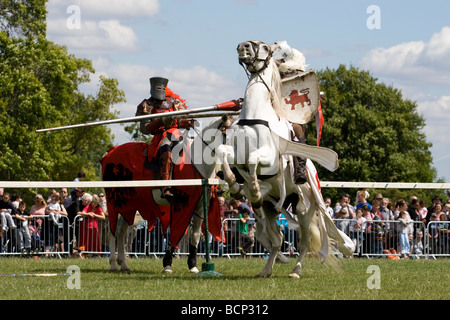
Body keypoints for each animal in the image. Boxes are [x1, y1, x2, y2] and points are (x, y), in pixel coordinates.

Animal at [219, 40, 356, 278]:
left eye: (264, 47)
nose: (243, 46)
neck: (255, 115)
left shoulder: (269, 157)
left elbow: (254, 160)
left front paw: (254, 189)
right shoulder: (236, 152)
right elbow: (223, 152)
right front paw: (235, 184)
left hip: (305, 210)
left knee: (305, 242)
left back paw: (296, 271)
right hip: (270, 209)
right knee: (277, 240)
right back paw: (265, 270)